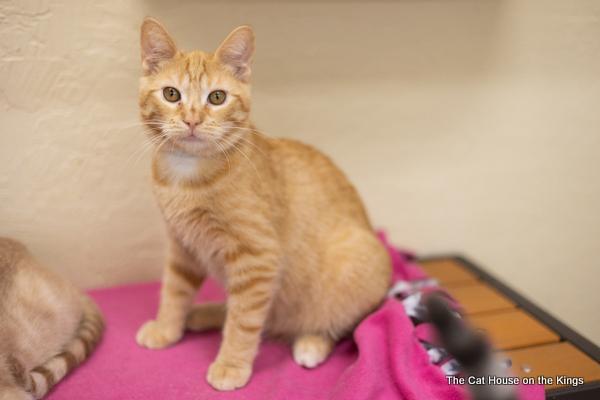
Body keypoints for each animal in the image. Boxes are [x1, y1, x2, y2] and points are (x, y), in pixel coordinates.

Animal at [134, 18, 392, 390]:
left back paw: (311, 344)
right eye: (172, 94)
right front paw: (167, 328)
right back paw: (206, 312)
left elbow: (243, 321)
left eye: (217, 97)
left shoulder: (259, 259)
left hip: (355, 265)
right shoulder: (183, 245)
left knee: (332, 323)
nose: (192, 120)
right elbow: (174, 290)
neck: (187, 172)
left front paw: (231, 365)